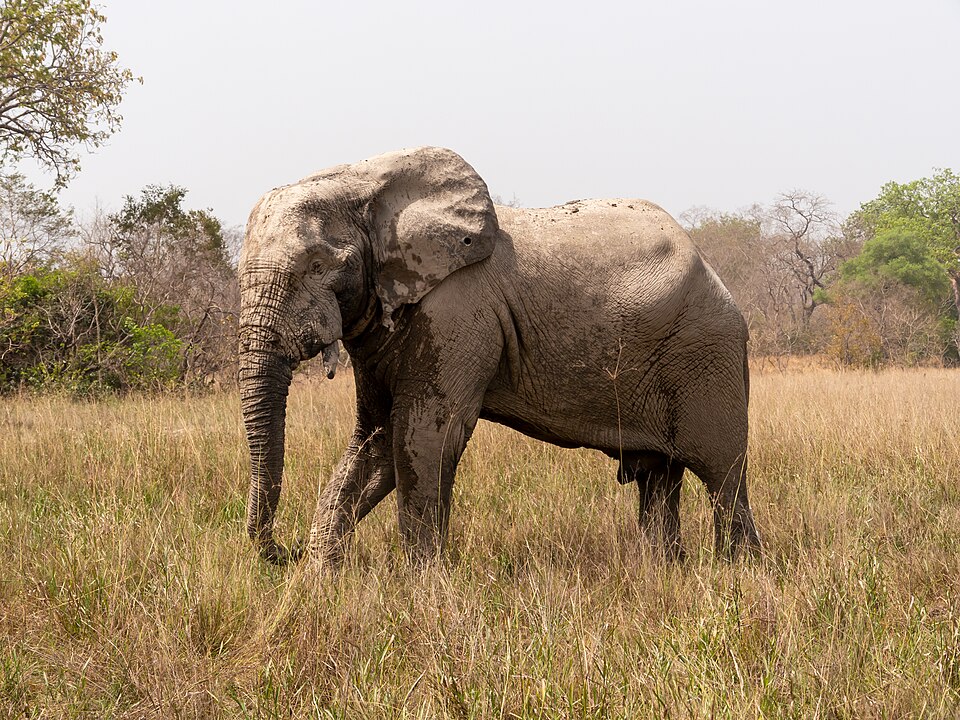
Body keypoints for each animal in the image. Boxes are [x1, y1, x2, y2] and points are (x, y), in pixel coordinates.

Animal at [238, 146, 761, 568]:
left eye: (318, 266)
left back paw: (739, 573)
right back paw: (665, 572)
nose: (284, 552)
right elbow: (379, 438)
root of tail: (718, 280)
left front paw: (420, 585)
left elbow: (423, 435)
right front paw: (322, 577)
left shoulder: (458, 310)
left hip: (705, 352)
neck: (363, 180)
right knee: (659, 477)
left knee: (723, 475)